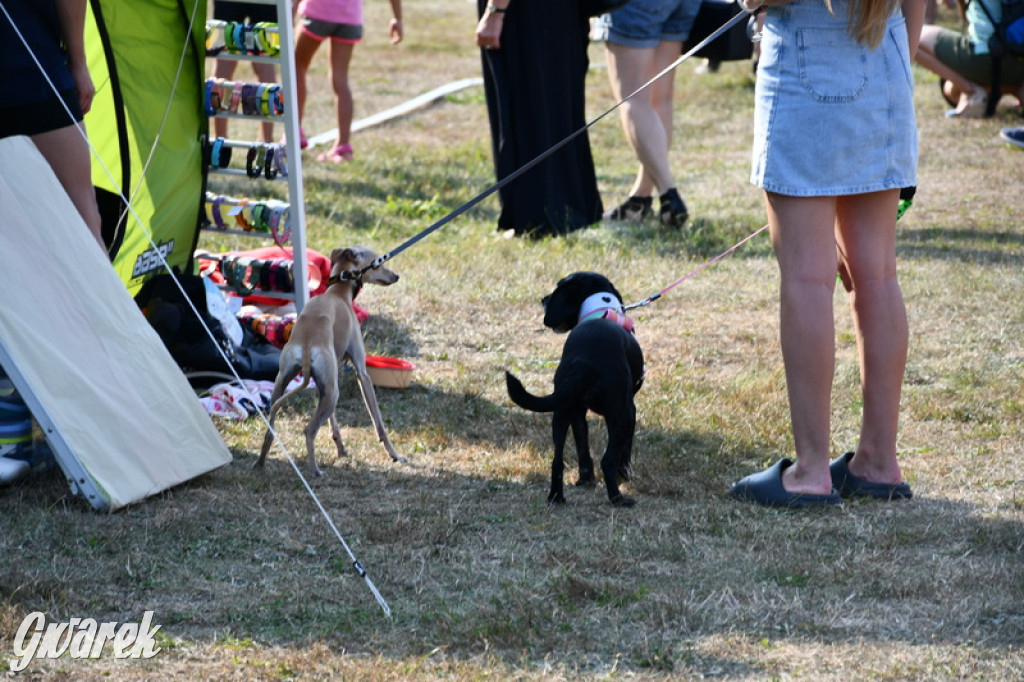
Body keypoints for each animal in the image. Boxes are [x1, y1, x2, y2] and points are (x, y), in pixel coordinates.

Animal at [507, 270, 643, 503]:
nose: (543, 299)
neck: (600, 306)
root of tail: (585, 363)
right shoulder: (629, 410)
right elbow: (625, 449)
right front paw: (624, 472)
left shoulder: (577, 412)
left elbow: (582, 446)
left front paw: (585, 480)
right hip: (620, 414)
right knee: (608, 460)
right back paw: (618, 499)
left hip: (561, 410)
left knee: (557, 461)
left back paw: (556, 497)